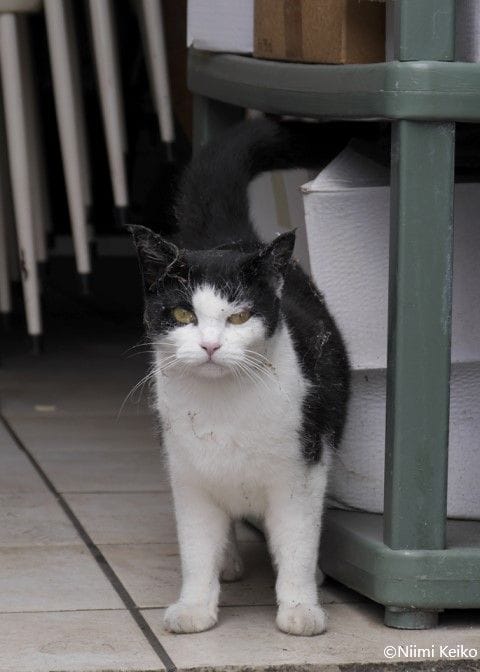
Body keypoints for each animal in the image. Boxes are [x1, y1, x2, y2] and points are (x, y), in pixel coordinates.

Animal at [131, 119, 348, 636]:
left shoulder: (301, 474)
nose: (210, 345)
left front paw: (300, 608)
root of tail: (230, 238)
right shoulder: (187, 478)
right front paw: (194, 606)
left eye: (239, 316)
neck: (222, 407)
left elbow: (296, 543)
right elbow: (195, 549)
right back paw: (228, 562)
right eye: (183, 313)